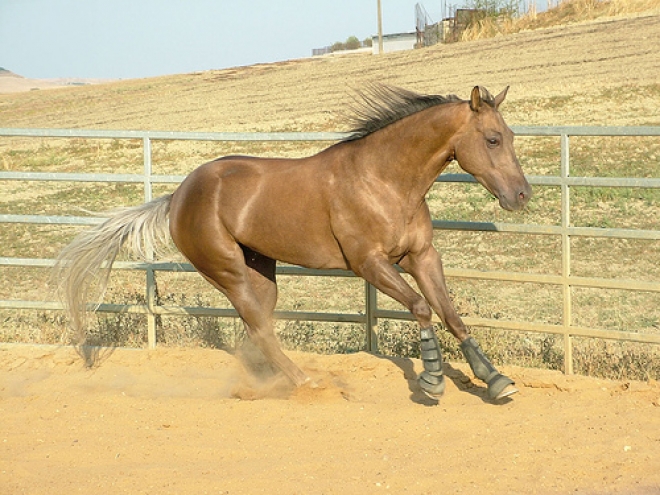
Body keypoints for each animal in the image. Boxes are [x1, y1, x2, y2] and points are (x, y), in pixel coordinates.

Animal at [55, 85, 532, 402]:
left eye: (510, 136)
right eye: (492, 139)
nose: (522, 195)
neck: (384, 180)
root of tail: (178, 196)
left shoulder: (421, 256)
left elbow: (451, 314)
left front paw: (495, 380)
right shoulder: (371, 264)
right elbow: (421, 308)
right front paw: (431, 382)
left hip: (261, 272)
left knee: (259, 327)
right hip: (227, 270)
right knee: (260, 328)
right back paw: (305, 382)